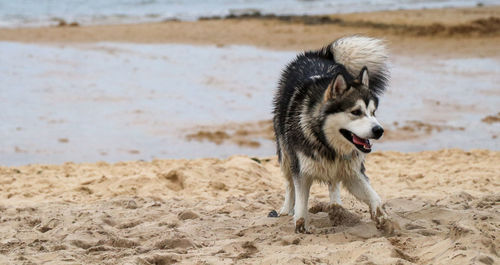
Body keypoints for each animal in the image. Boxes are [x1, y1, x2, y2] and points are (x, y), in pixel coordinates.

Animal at [274, 35, 390, 233]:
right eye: (356, 112)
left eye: (373, 112)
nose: (379, 130)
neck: (326, 143)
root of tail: (320, 54)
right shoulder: (302, 170)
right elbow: (301, 201)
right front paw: (300, 225)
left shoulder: (352, 170)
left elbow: (373, 196)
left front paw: (383, 218)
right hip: (285, 152)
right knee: (289, 183)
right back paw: (287, 208)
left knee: (333, 182)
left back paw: (337, 206)